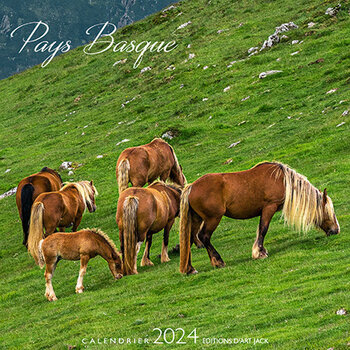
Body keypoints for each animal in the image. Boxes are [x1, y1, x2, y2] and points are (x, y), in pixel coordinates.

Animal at [178, 161, 340, 274]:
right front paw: (260, 252)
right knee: (204, 237)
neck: (281, 179)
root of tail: (191, 187)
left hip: (197, 219)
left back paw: (190, 269)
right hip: (213, 219)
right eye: (328, 212)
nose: (336, 230)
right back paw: (218, 261)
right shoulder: (269, 207)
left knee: (190, 239)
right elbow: (263, 229)